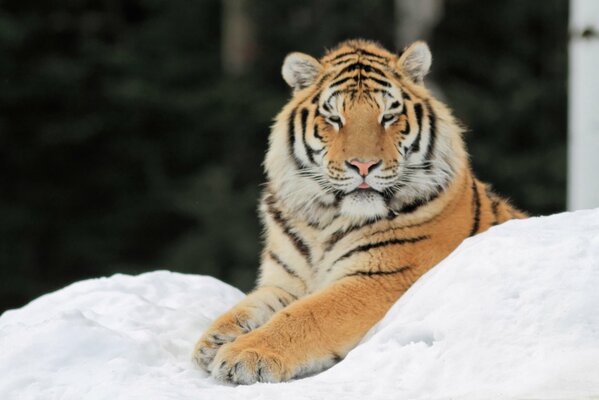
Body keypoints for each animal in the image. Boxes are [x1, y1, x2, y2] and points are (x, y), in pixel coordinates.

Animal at [192, 39, 524, 384]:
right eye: (335, 118)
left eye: (388, 116)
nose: (363, 165)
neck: (322, 220)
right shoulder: (286, 281)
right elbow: (253, 303)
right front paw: (214, 339)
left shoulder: (378, 278)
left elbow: (306, 314)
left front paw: (244, 355)